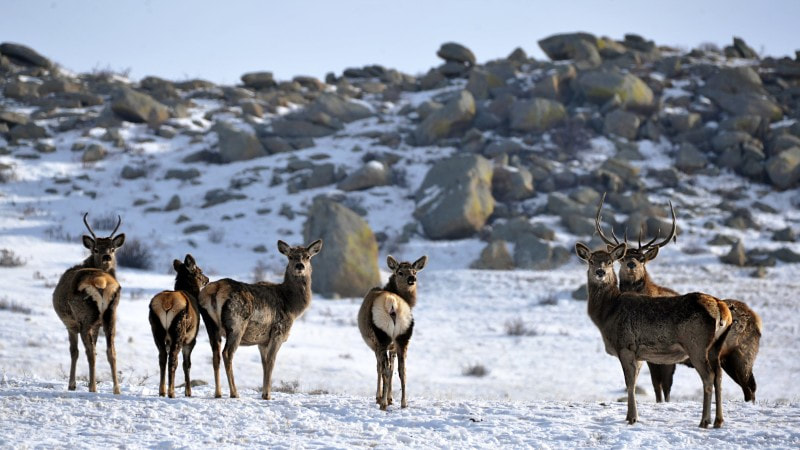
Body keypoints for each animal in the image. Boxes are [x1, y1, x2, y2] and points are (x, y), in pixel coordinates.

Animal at [51, 214, 124, 394]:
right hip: (111, 315)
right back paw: (116, 389)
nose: (107, 257)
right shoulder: (97, 325)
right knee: (111, 351)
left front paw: (71, 385)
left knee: (90, 352)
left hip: (84, 317)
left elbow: (74, 352)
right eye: (96, 249)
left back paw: (92, 387)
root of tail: (102, 283)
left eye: (113, 249)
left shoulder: (70, 324)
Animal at [148, 253, 208, 398]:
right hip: (179, 331)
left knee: (162, 357)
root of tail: (166, 304)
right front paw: (188, 392)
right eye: (200, 271)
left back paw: (162, 391)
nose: (207, 279)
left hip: (156, 330)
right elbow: (187, 364)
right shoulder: (191, 339)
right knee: (173, 360)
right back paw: (171, 392)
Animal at [199, 241, 322, 400]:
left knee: (215, 355)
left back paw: (218, 393)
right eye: (290, 256)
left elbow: (263, 363)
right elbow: (271, 361)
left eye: (307, 256)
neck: (292, 306)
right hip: (237, 323)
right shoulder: (278, 331)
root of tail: (216, 290)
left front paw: (264, 393)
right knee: (227, 353)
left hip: (210, 325)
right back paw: (234, 392)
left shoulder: (261, 341)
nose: (299, 266)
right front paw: (268, 395)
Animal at [360, 255, 428, 410]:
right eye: (400, 272)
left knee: (385, 369)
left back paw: (383, 403)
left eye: (414, 271)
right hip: (403, 335)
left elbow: (380, 368)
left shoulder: (377, 345)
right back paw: (403, 403)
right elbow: (393, 370)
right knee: (403, 370)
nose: (412, 278)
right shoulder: (393, 348)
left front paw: (380, 397)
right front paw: (390, 398)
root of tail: (393, 303)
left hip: (382, 335)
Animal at [600, 195, 764, 402]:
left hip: (741, 353)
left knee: (749, 386)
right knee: (749, 385)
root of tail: (757, 321)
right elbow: (657, 386)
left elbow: (664, 386)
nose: (631, 264)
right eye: (622, 258)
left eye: (642, 258)